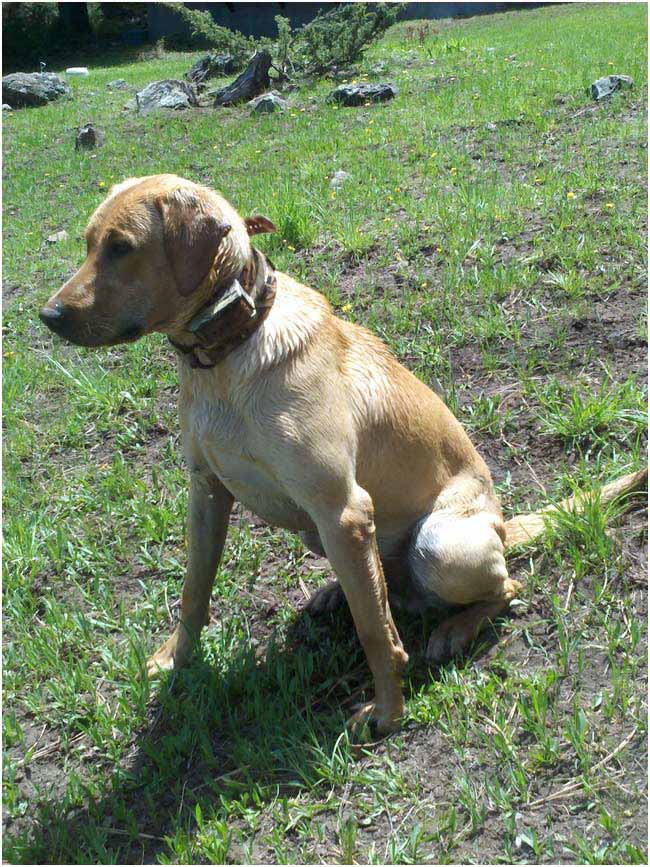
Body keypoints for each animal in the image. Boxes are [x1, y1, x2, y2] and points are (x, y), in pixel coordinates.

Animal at [40, 175, 644, 732]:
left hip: (436, 544)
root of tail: (501, 524)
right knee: (381, 585)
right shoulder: (207, 491)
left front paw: (389, 712)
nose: (48, 315)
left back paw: (453, 628)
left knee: (503, 587)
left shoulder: (345, 508)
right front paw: (172, 659)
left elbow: (377, 633)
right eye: (89, 243)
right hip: (328, 535)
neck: (229, 355)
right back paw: (337, 591)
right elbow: (193, 592)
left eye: (122, 247)